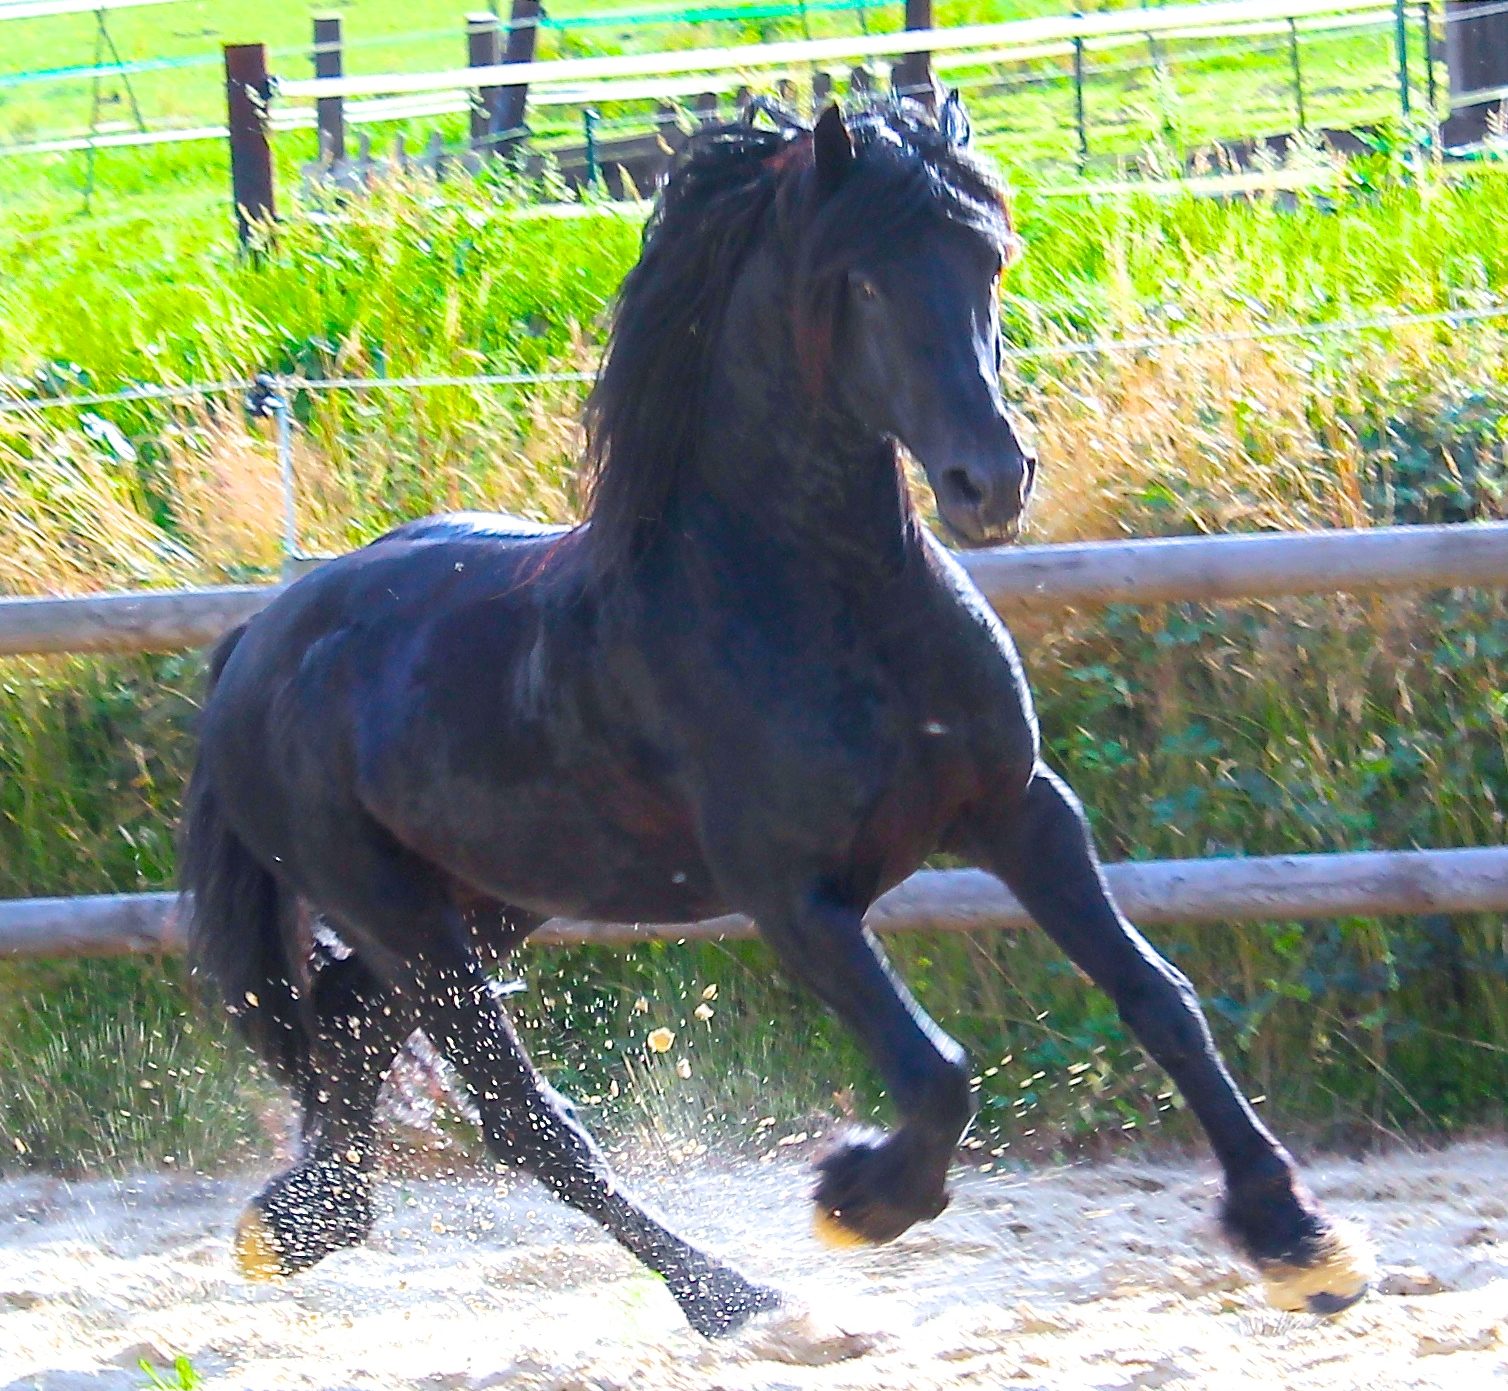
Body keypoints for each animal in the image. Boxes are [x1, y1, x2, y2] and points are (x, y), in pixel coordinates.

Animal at [181, 97, 1370, 1337]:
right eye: (863, 282)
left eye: (988, 260)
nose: (989, 480)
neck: (820, 599)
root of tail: (254, 643)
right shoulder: (791, 892)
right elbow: (935, 1069)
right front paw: (857, 1196)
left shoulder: (1019, 811)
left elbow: (1158, 997)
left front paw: (1299, 1240)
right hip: (403, 914)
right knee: (523, 1116)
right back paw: (729, 1295)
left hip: (485, 899)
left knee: (349, 1022)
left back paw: (298, 1221)